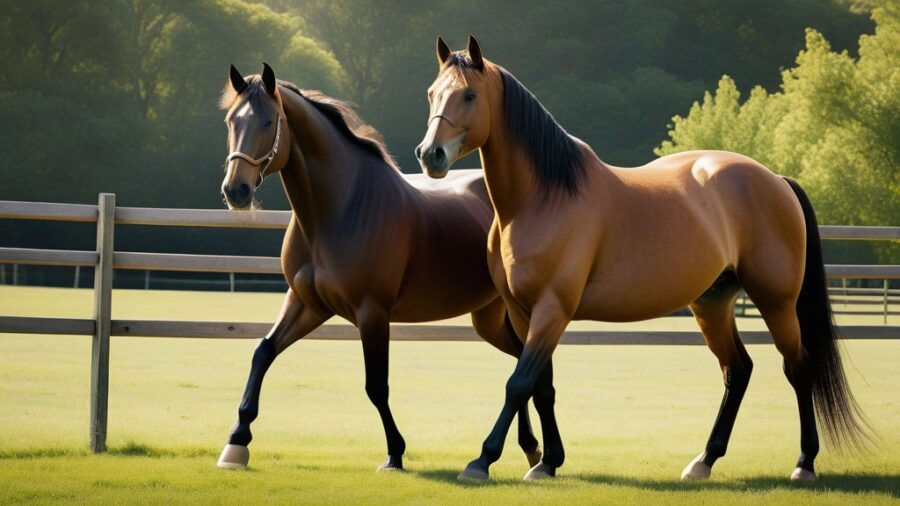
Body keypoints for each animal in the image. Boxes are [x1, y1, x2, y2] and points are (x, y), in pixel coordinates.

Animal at [214, 63, 553, 473]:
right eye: (231, 120)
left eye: (268, 120)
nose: (236, 190)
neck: (338, 210)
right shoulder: (306, 302)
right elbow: (262, 352)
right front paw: (236, 442)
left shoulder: (371, 311)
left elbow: (376, 385)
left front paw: (395, 453)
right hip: (489, 316)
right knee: (522, 360)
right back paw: (531, 448)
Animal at [415, 36, 867, 482]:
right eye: (432, 93)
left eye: (469, 95)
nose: (429, 154)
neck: (542, 199)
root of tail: (776, 179)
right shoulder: (524, 312)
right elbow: (542, 386)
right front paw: (548, 461)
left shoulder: (552, 310)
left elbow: (518, 383)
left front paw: (482, 460)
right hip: (713, 303)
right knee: (737, 371)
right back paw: (704, 460)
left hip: (776, 302)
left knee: (798, 368)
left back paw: (804, 463)